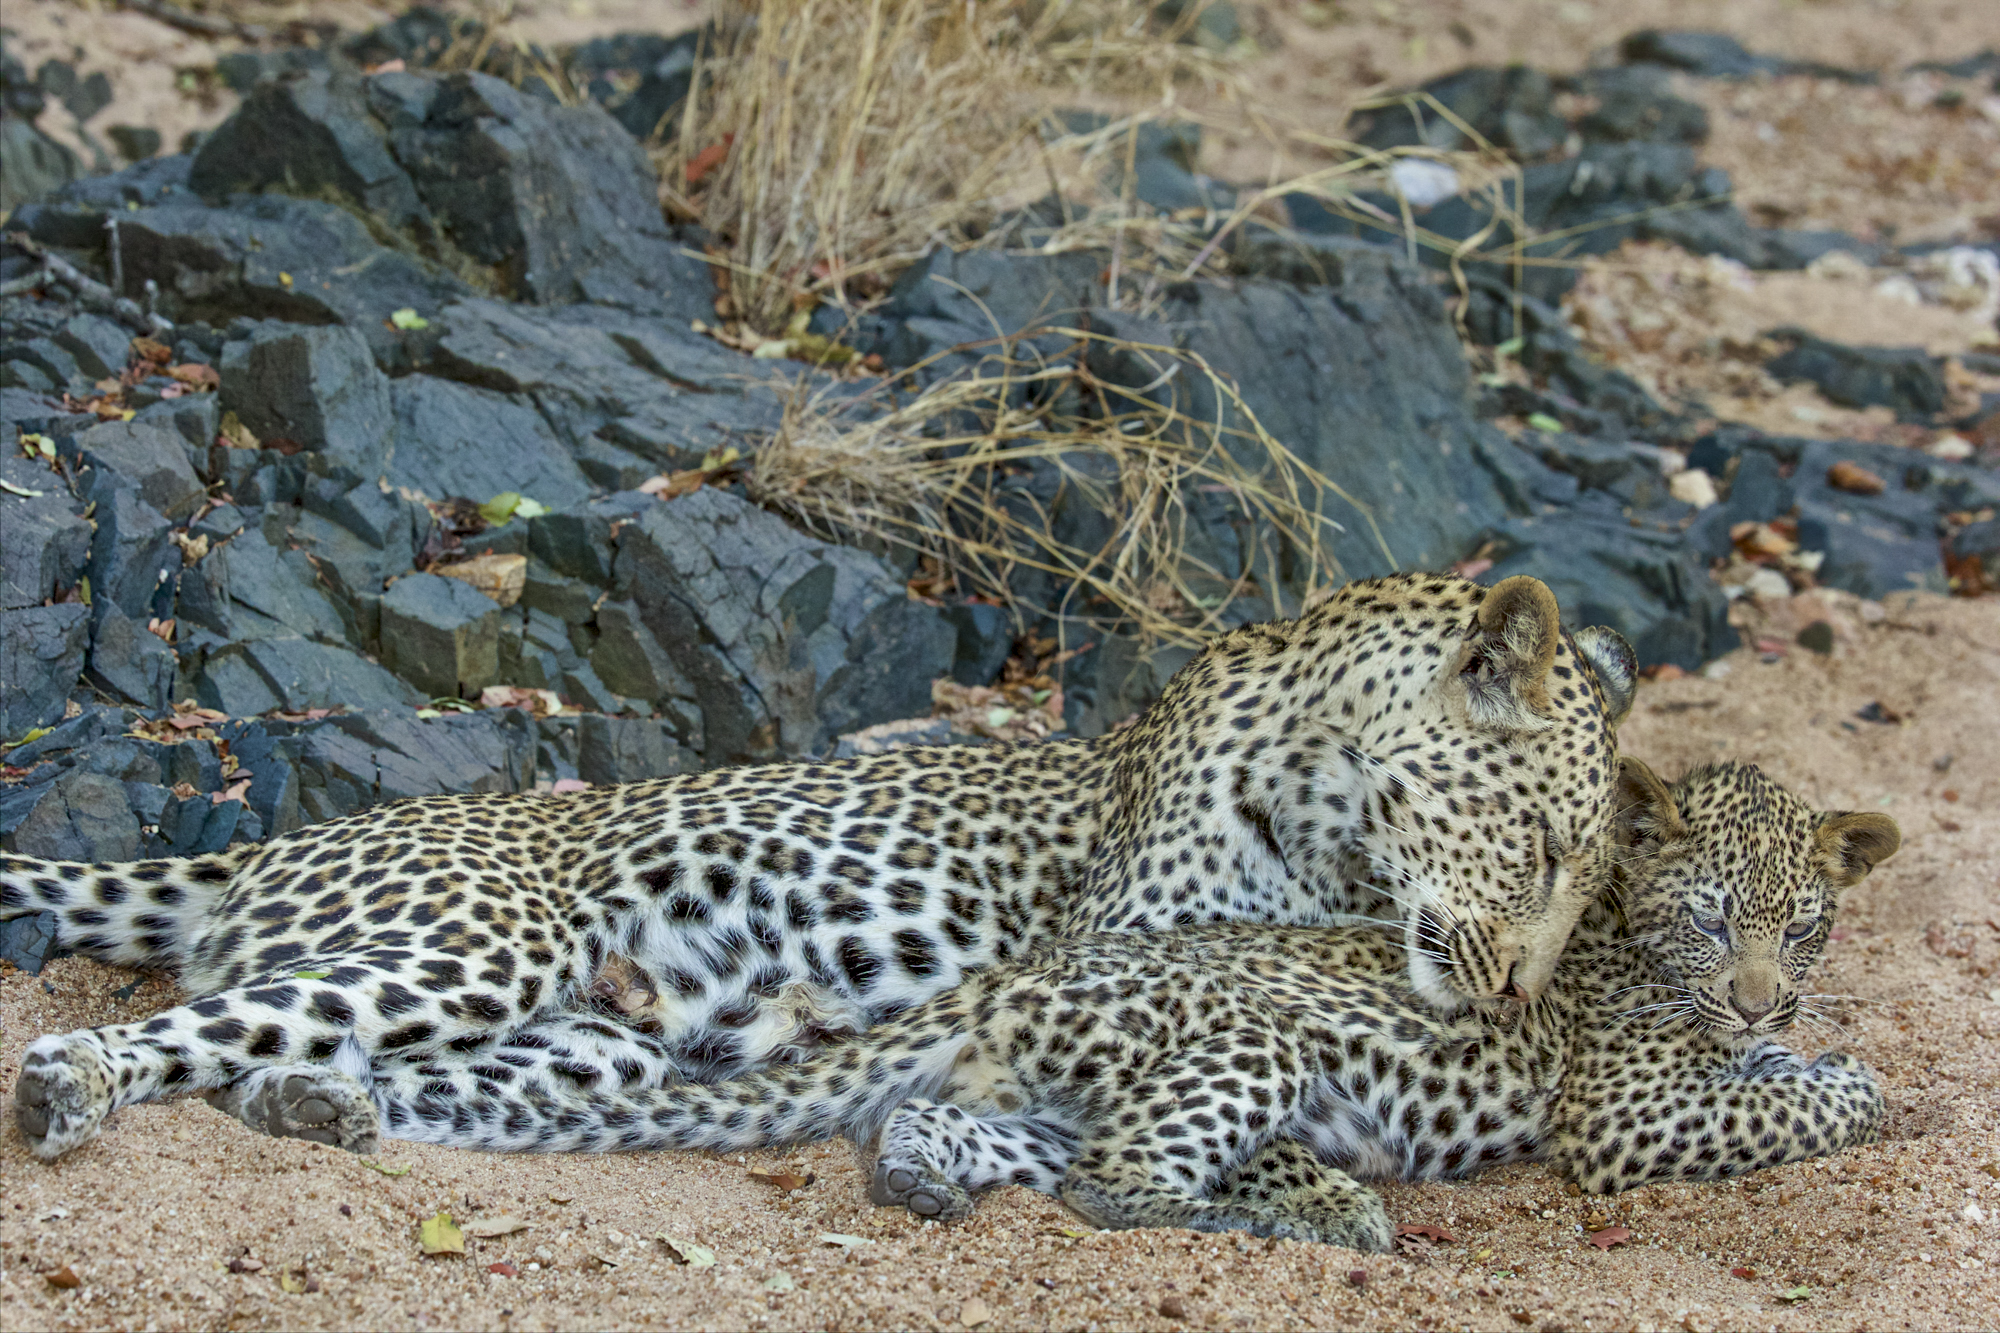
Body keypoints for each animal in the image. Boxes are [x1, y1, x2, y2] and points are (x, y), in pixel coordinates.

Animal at [4, 572, 1637, 1163]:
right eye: (1548, 844)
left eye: (1590, 887)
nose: (1515, 997)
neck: (1330, 809)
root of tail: (267, 840)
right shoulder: (1128, 953)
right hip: (476, 941)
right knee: (184, 1026)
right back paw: (71, 1086)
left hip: (595, 1031)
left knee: (353, 1062)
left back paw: (321, 1104)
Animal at [350, 757, 1897, 1252]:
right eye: (1714, 917)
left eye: (1804, 922)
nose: (1762, 999)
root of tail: (1015, 974)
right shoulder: (1624, 1117)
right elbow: (1799, 1105)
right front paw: (1847, 1081)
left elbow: (1774, 1082)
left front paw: (1800, 1052)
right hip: (1246, 1053)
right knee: (1115, 1182)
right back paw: (1292, 1223)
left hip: (1059, 1086)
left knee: (984, 1139)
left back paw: (919, 1173)